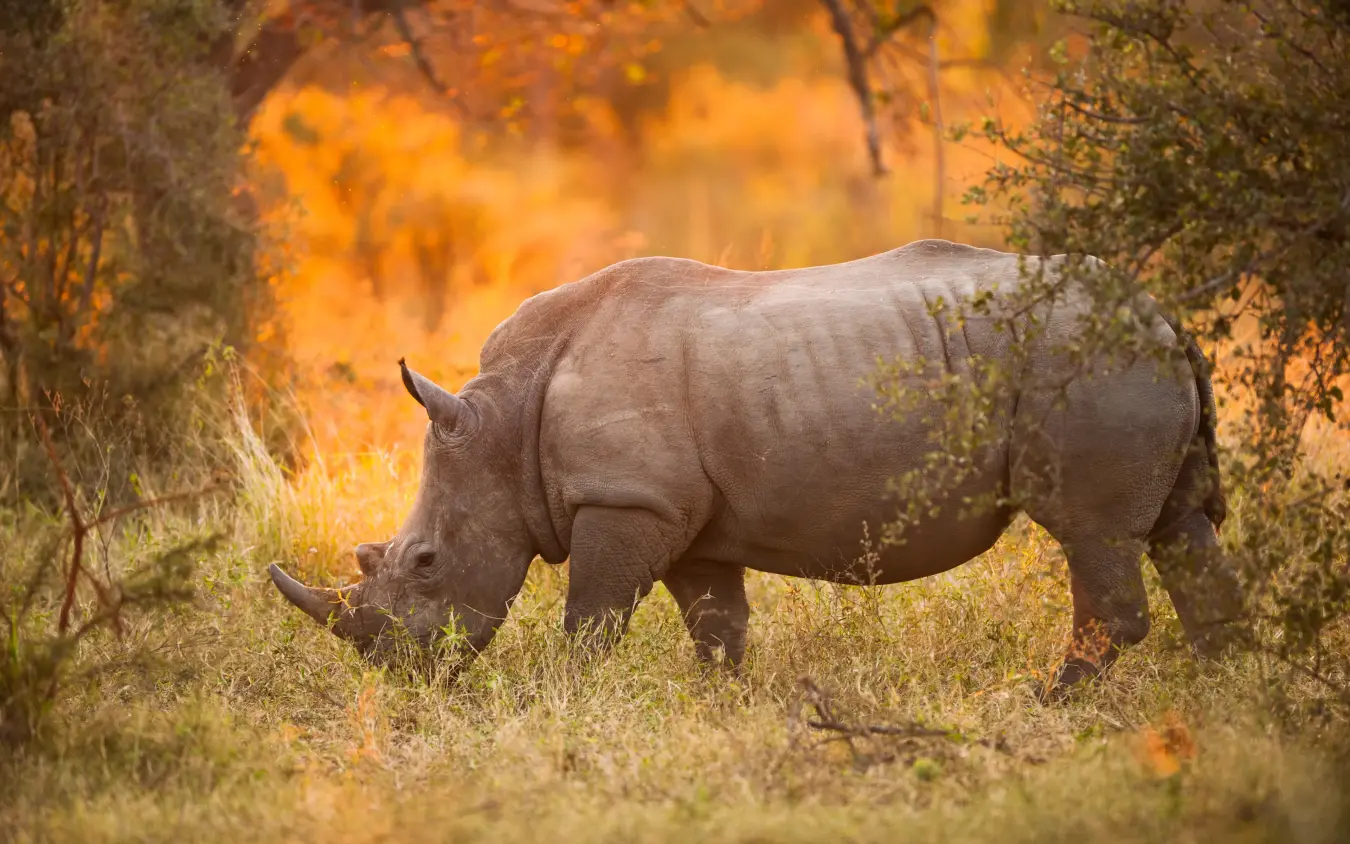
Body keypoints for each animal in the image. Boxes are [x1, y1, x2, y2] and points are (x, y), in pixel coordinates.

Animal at [271, 239, 1244, 695]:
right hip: (1124, 361)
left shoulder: (626, 500)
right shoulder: (683, 515)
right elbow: (717, 628)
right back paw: (1225, 697)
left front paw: (563, 699)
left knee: (1094, 535)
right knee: (1179, 529)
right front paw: (719, 708)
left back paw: (1049, 704)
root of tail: (1160, 313)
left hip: (1092, 364)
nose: (399, 675)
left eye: (426, 562)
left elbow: (592, 620)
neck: (503, 421)